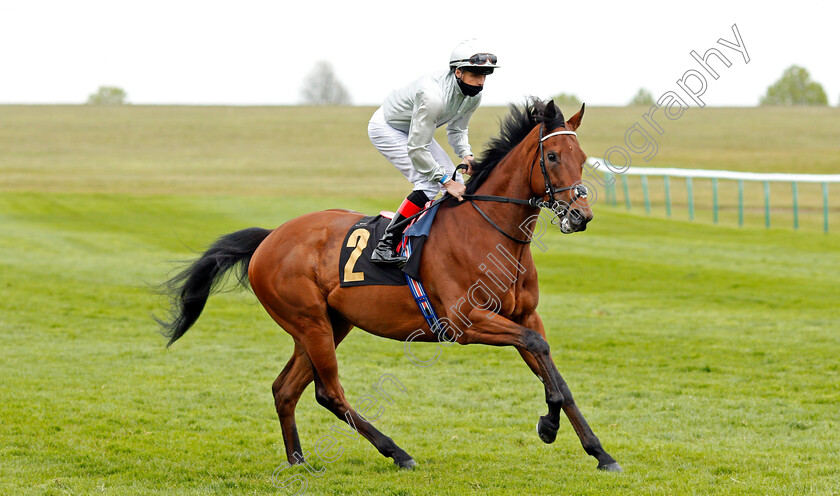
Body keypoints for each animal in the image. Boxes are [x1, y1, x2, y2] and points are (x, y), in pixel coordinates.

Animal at [158, 98, 620, 472]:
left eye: (583, 157)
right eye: (553, 155)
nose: (580, 216)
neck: (488, 231)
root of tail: (271, 236)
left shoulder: (524, 316)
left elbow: (553, 372)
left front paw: (599, 452)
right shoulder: (465, 322)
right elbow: (540, 355)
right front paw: (548, 425)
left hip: (329, 324)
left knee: (285, 389)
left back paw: (298, 460)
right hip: (310, 322)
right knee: (328, 391)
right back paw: (396, 452)